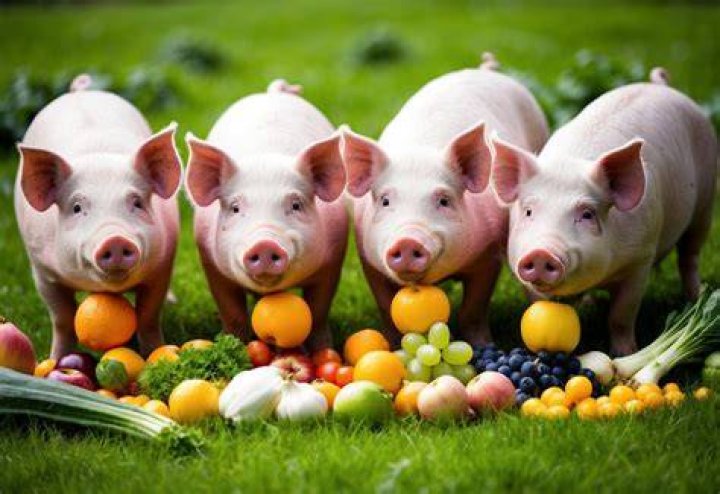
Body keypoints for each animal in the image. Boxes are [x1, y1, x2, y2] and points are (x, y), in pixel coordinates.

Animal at [14, 74, 183, 359]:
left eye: (137, 202)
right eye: (76, 207)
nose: (115, 239)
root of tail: (80, 92)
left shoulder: (162, 266)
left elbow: (148, 316)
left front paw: (154, 354)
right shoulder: (42, 271)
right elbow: (62, 319)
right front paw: (56, 360)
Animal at [184, 79, 347, 350]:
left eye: (296, 205)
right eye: (235, 208)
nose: (264, 243)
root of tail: (272, 93)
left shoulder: (333, 259)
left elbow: (318, 312)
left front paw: (323, 350)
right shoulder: (211, 263)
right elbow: (233, 314)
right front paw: (234, 347)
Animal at [340, 54, 549, 345]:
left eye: (444, 200)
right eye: (385, 201)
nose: (407, 240)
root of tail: (486, 70)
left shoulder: (489, 255)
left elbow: (473, 310)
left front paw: (484, 345)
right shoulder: (369, 261)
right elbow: (386, 309)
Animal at [490, 68, 718, 355]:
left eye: (587, 214)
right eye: (529, 211)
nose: (541, 252)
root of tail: (661, 85)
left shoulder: (641, 259)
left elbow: (620, 315)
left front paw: (625, 353)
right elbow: (537, 305)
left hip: (706, 201)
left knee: (690, 256)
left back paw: (697, 297)